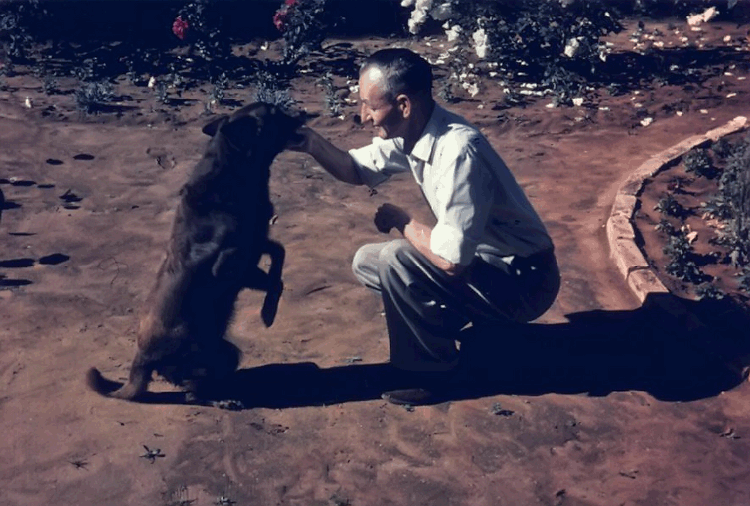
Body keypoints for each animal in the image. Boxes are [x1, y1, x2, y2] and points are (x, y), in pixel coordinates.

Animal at [89, 103, 308, 408]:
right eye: (274, 112)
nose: (305, 113)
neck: (232, 171)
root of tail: (141, 361)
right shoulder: (229, 266)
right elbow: (272, 277)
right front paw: (268, 313)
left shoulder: (256, 246)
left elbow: (279, 253)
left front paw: (269, 309)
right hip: (213, 357)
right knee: (192, 394)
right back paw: (222, 400)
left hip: (228, 353)